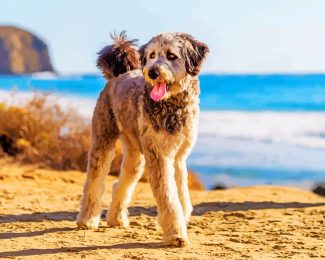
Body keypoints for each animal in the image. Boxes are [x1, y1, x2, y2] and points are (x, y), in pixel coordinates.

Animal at [76, 31, 208, 247]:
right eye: (152, 55)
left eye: (171, 56)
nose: (152, 72)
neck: (171, 106)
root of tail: (118, 75)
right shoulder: (159, 157)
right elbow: (169, 198)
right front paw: (176, 234)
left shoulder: (178, 157)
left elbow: (181, 194)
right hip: (103, 140)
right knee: (94, 181)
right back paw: (87, 219)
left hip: (135, 154)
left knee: (121, 182)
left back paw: (116, 218)